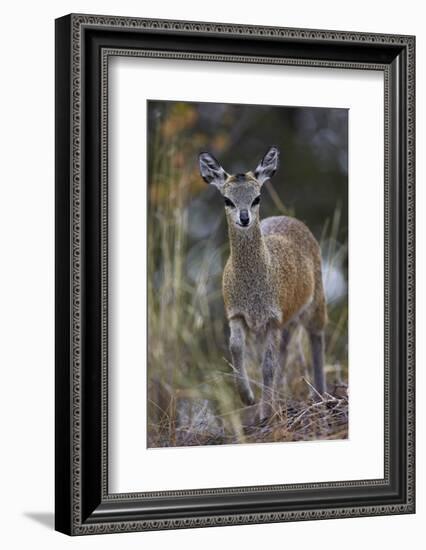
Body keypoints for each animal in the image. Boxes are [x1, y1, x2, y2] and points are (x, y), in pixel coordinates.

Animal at [198, 147, 328, 422]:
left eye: (257, 197)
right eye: (227, 200)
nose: (244, 218)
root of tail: (292, 219)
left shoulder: (272, 318)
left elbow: (267, 366)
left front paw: (264, 412)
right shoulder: (236, 313)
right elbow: (237, 348)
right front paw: (248, 398)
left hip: (315, 302)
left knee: (316, 335)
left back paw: (321, 395)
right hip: (288, 321)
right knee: (286, 351)